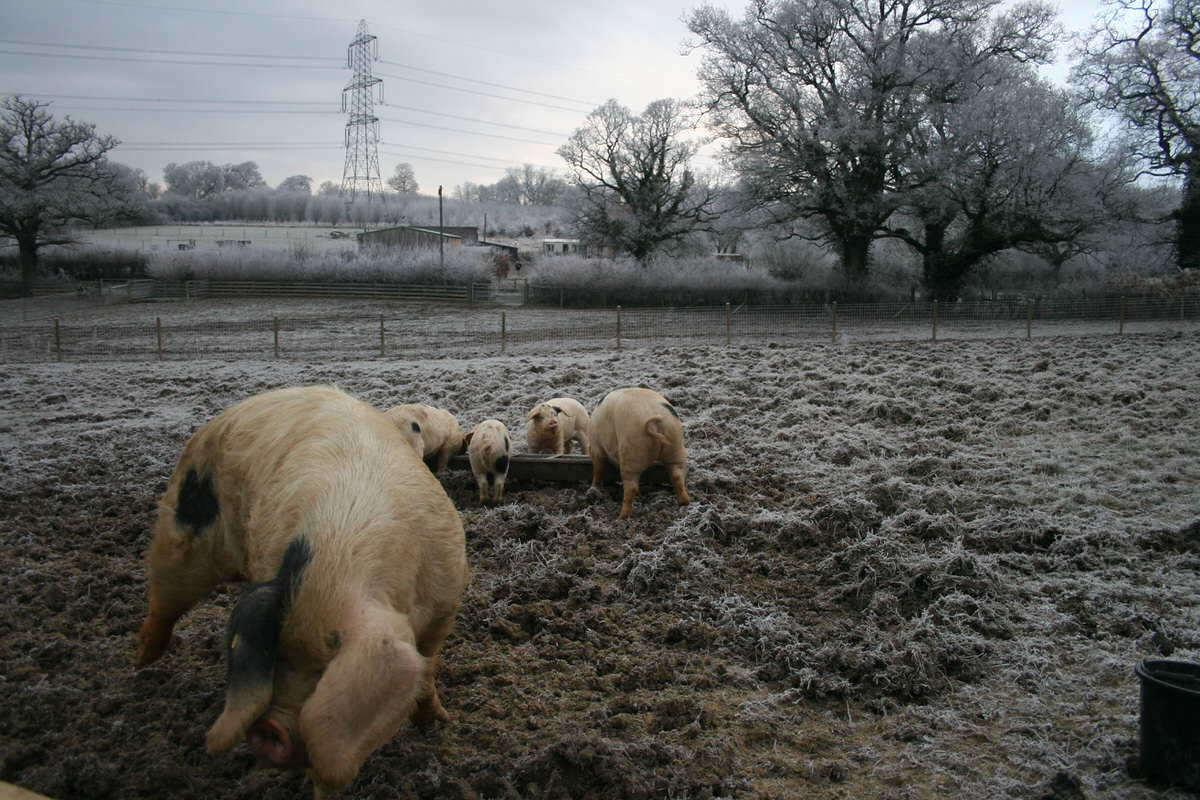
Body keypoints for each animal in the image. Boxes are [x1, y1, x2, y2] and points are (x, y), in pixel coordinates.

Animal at [133, 383, 465, 796]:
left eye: (325, 666)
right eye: (278, 653)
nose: (267, 729)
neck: (338, 559)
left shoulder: (445, 602)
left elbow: (428, 666)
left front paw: (439, 721)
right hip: (184, 532)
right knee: (163, 602)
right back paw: (140, 664)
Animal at [588, 386, 691, 520]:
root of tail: (655, 421)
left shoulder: (597, 447)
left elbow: (598, 469)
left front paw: (594, 487)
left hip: (632, 450)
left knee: (630, 486)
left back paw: (622, 516)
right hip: (676, 444)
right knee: (677, 475)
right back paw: (684, 502)